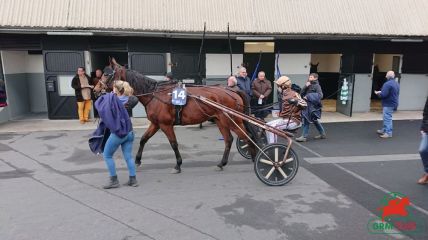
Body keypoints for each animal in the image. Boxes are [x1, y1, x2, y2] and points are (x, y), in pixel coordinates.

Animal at [98, 59, 256, 173]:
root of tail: (232, 91)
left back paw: (255, 157)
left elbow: (173, 144)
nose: (96, 88)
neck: (154, 94)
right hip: (220, 121)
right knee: (229, 140)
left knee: (246, 136)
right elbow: (143, 139)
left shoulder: (165, 125)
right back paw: (222, 163)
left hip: (231, 120)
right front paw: (137, 160)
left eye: (106, 73)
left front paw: (178, 165)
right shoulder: (155, 124)